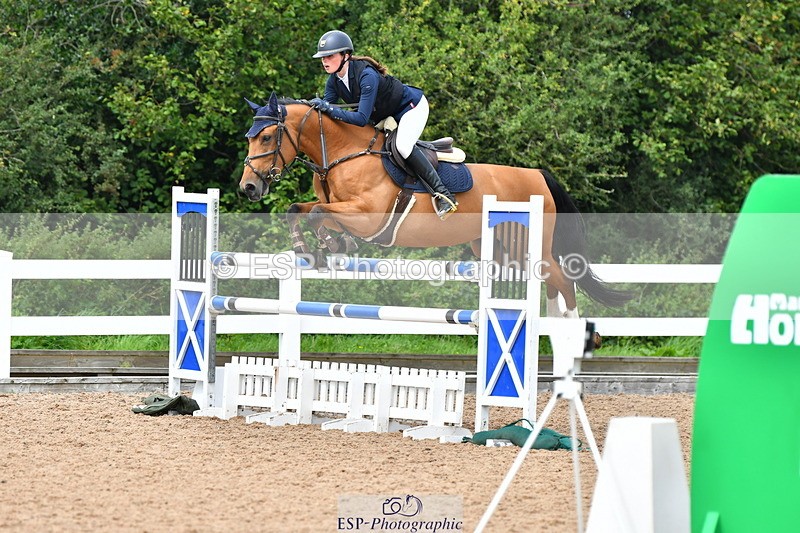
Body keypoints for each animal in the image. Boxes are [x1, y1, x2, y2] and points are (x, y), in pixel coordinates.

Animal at [239, 92, 630, 317]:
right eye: (250, 137)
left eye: (267, 136)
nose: (248, 187)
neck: (342, 152)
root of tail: (538, 175)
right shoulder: (340, 208)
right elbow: (299, 210)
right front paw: (309, 248)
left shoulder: (369, 218)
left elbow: (322, 215)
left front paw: (333, 244)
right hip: (502, 249)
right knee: (553, 285)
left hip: (529, 245)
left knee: (565, 284)